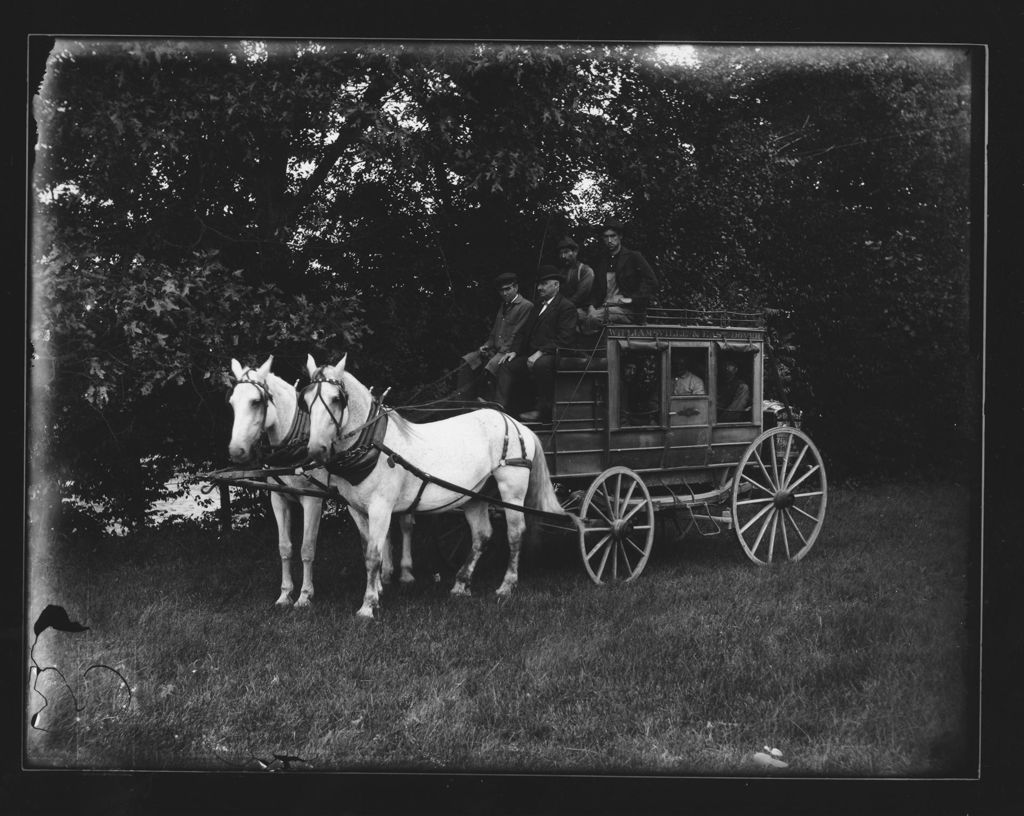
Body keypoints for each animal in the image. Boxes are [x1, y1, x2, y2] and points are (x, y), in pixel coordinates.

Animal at [226, 354, 413, 606]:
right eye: (232, 403)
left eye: (256, 402)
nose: (236, 451)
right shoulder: (278, 498)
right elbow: (284, 547)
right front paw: (285, 594)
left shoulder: (312, 501)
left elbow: (307, 548)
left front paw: (305, 596)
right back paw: (384, 578)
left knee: (405, 523)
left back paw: (405, 573)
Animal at [301, 352, 569, 618]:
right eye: (305, 400)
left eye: (336, 399)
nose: (315, 450)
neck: (374, 443)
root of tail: (515, 422)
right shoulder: (356, 509)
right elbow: (367, 551)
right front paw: (376, 593)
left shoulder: (381, 508)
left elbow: (373, 555)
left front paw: (367, 606)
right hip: (475, 494)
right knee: (481, 534)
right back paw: (461, 583)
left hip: (511, 488)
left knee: (514, 533)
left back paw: (506, 585)